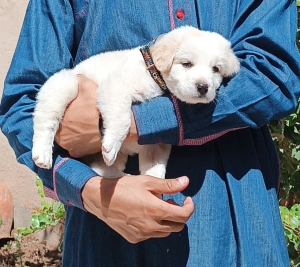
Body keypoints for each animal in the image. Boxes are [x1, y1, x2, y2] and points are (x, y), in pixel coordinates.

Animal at [32, 26, 239, 179]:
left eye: (216, 69)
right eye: (186, 64)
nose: (203, 87)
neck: (153, 71)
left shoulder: (157, 143)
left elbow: (155, 168)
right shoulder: (115, 87)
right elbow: (122, 120)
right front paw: (111, 145)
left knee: (99, 169)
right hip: (63, 85)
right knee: (45, 121)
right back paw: (42, 154)